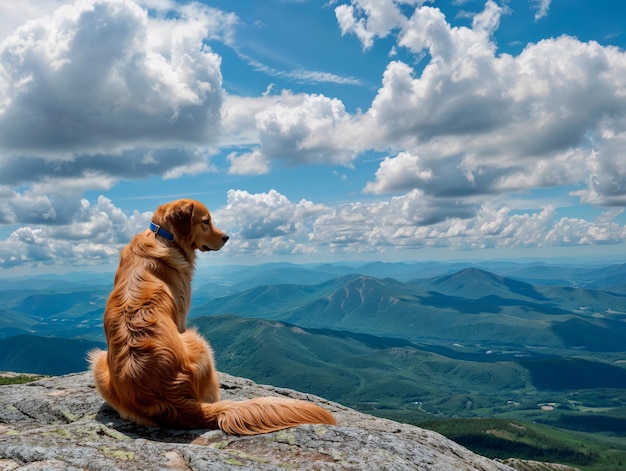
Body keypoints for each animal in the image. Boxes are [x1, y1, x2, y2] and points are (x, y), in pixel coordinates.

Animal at [89, 199, 336, 436]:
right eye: (205, 221)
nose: (226, 237)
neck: (165, 237)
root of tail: (174, 402)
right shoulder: (181, 316)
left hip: (100, 366)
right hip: (198, 344)